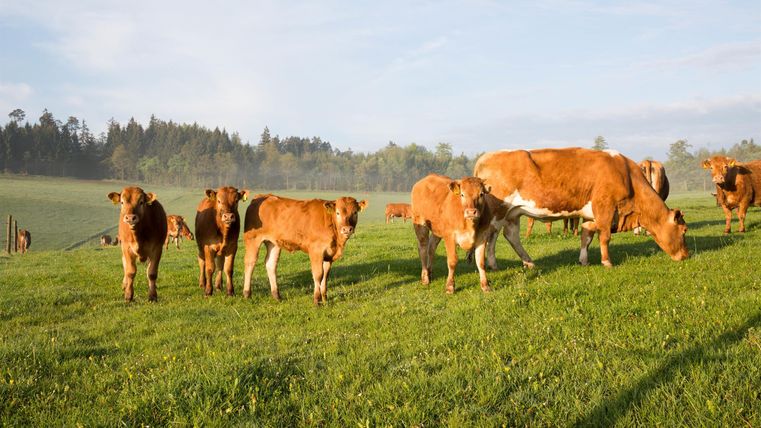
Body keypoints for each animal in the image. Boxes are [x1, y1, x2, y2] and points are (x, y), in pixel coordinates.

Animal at [473, 148, 689, 268]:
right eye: (684, 230)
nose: (686, 255)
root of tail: (485, 157)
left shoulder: (590, 214)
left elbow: (586, 236)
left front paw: (584, 260)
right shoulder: (605, 208)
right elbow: (604, 237)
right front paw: (607, 262)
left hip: (513, 213)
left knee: (510, 236)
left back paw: (528, 262)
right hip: (499, 210)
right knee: (492, 235)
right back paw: (493, 263)